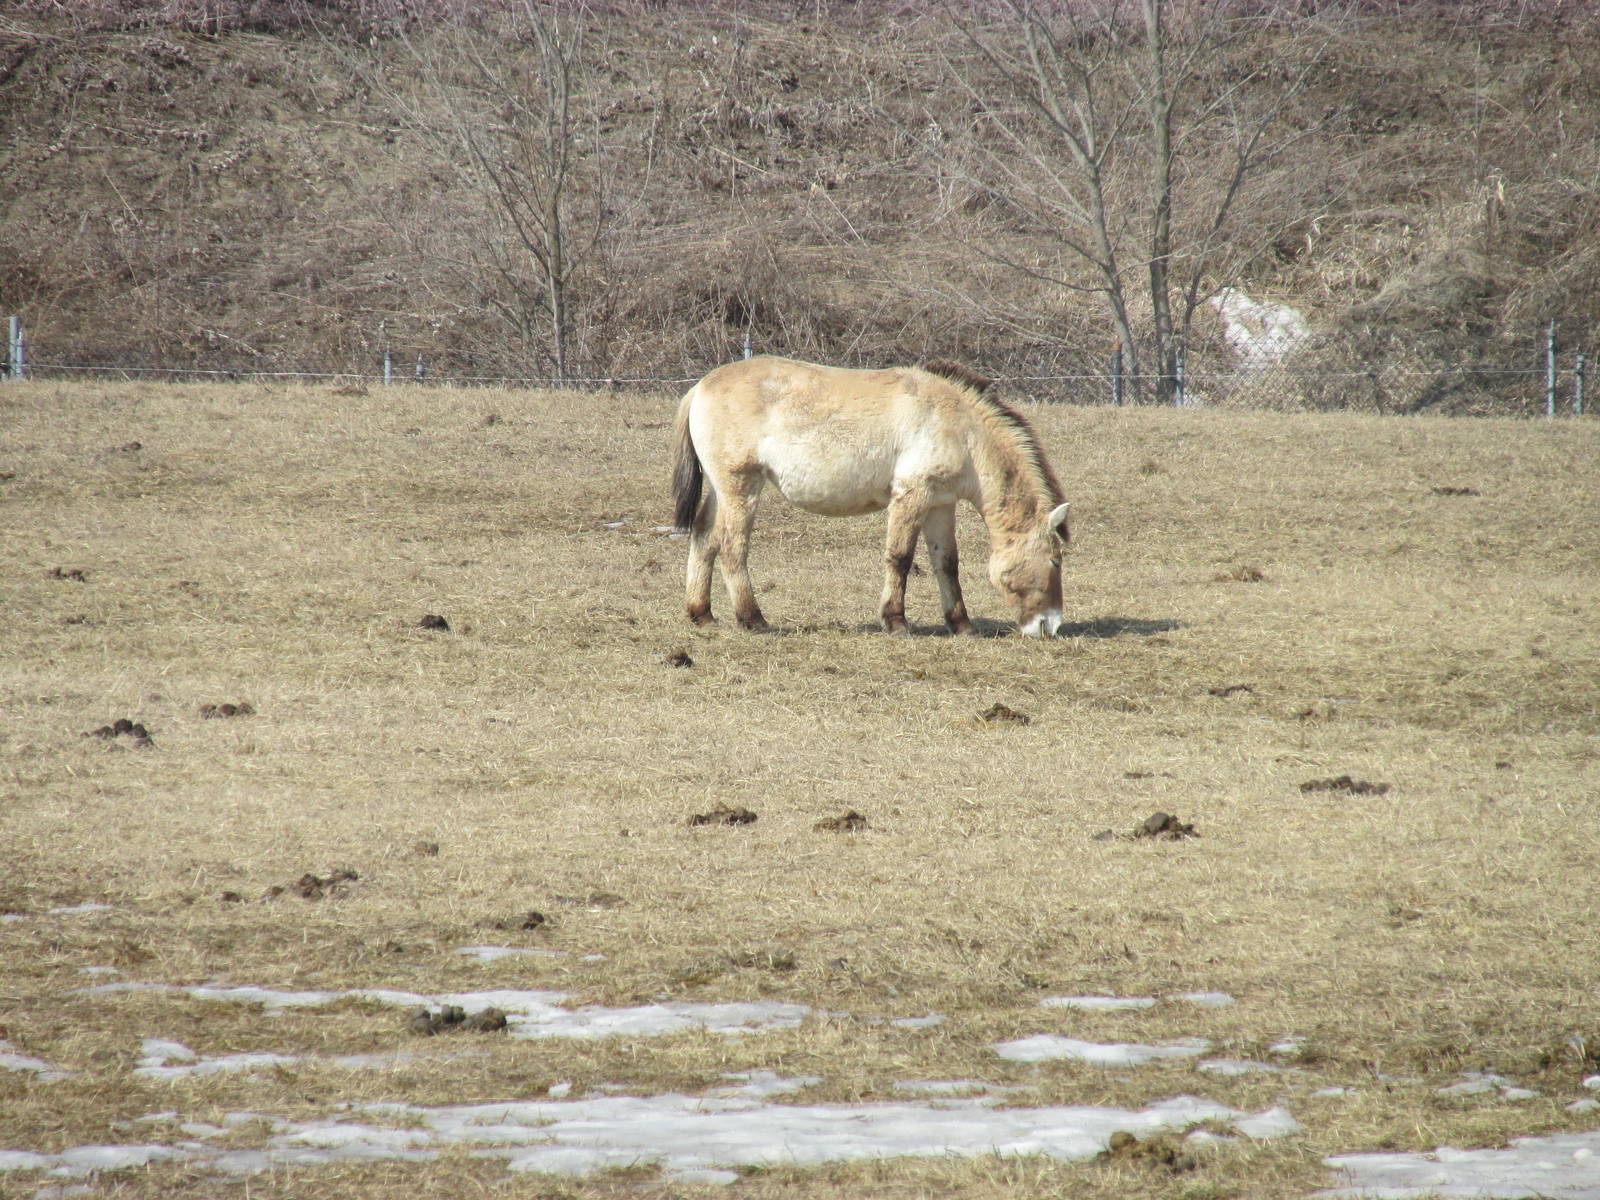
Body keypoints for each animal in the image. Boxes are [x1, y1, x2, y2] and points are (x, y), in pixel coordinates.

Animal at [670, 356, 1072, 636]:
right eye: (1055, 561)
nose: (1050, 626)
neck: (960, 427)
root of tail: (701, 386)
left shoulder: (941, 504)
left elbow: (947, 564)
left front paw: (962, 626)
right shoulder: (912, 496)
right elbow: (900, 558)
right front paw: (896, 622)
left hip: (722, 491)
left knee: (703, 538)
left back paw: (702, 614)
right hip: (741, 489)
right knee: (732, 548)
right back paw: (753, 619)